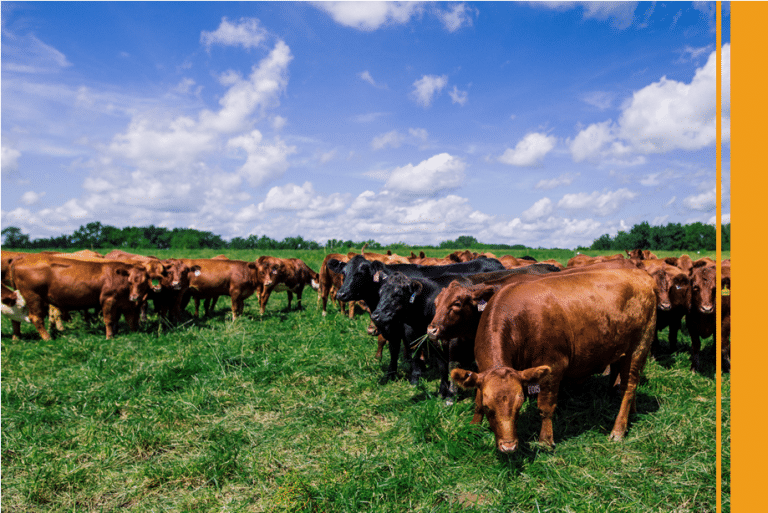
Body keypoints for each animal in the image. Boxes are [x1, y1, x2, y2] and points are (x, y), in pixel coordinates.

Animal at [10, 253, 152, 340]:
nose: (135, 297)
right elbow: (109, 320)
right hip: (33, 296)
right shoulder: (108, 299)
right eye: (130, 281)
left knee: (16, 318)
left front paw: (132, 332)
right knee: (36, 318)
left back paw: (17, 337)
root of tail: (20, 259)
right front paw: (109, 336)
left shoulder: (124, 304)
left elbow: (128, 319)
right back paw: (47, 338)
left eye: (145, 282)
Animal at [452, 268, 656, 452]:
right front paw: (473, 426)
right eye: (489, 408)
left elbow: (545, 407)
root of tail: (640, 274)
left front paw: (545, 440)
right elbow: (477, 400)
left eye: (519, 405)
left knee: (628, 387)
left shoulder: (553, 367)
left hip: (639, 347)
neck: (519, 318)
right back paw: (632, 413)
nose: (509, 446)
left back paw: (619, 429)